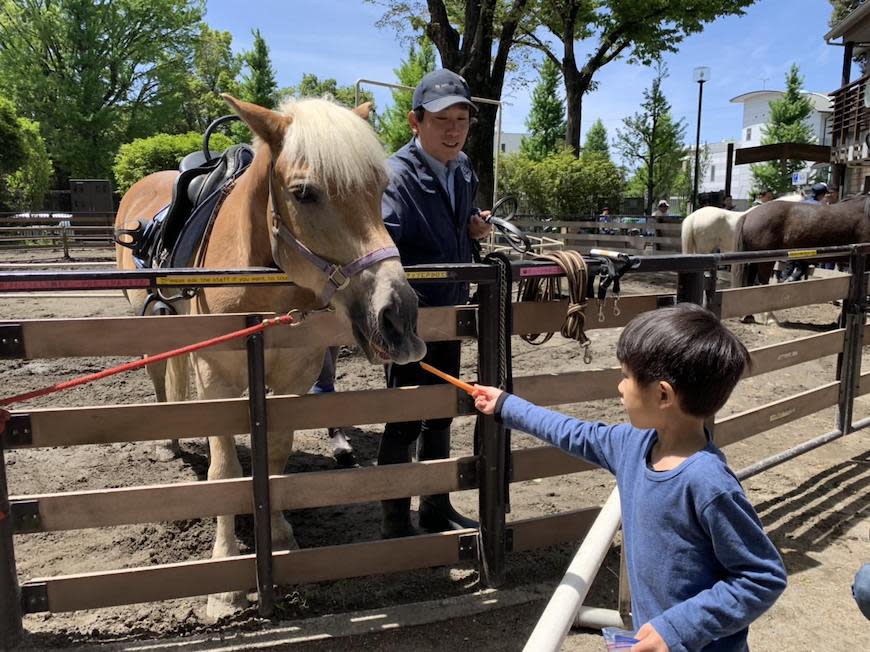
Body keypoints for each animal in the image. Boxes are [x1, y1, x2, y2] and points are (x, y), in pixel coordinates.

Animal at [114, 94, 428, 620]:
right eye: (304, 193)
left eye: (380, 188)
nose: (398, 317)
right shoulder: (216, 381)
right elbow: (224, 472)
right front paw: (225, 582)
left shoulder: (294, 381)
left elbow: (276, 455)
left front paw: (279, 537)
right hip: (153, 326)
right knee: (161, 377)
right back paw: (170, 442)